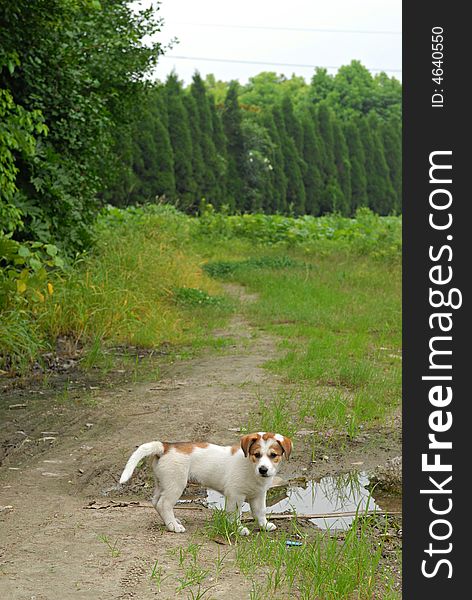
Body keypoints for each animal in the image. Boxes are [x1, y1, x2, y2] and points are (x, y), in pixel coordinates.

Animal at [119, 432, 292, 536]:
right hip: (176, 484)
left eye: (273, 455)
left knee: (155, 502)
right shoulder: (235, 496)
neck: (250, 467)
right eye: (257, 454)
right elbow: (235, 515)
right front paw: (238, 528)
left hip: (162, 483)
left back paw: (171, 522)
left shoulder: (259, 495)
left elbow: (260, 512)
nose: (263, 469)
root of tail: (166, 446)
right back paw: (173, 526)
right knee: (164, 504)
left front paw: (264, 525)